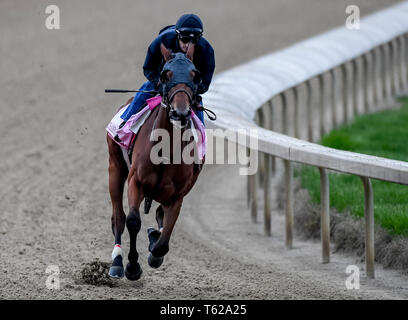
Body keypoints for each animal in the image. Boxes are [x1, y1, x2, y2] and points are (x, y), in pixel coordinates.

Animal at [106, 43, 203, 280]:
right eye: (165, 74)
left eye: (194, 75)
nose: (180, 112)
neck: (165, 149)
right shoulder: (136, 181)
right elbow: (133, 221)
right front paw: (132, 267)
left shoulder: (177, 195)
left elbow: (162, 242)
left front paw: (153, 249)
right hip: (115, 167)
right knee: (118, 218)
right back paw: (117, 262)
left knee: (158, 216)